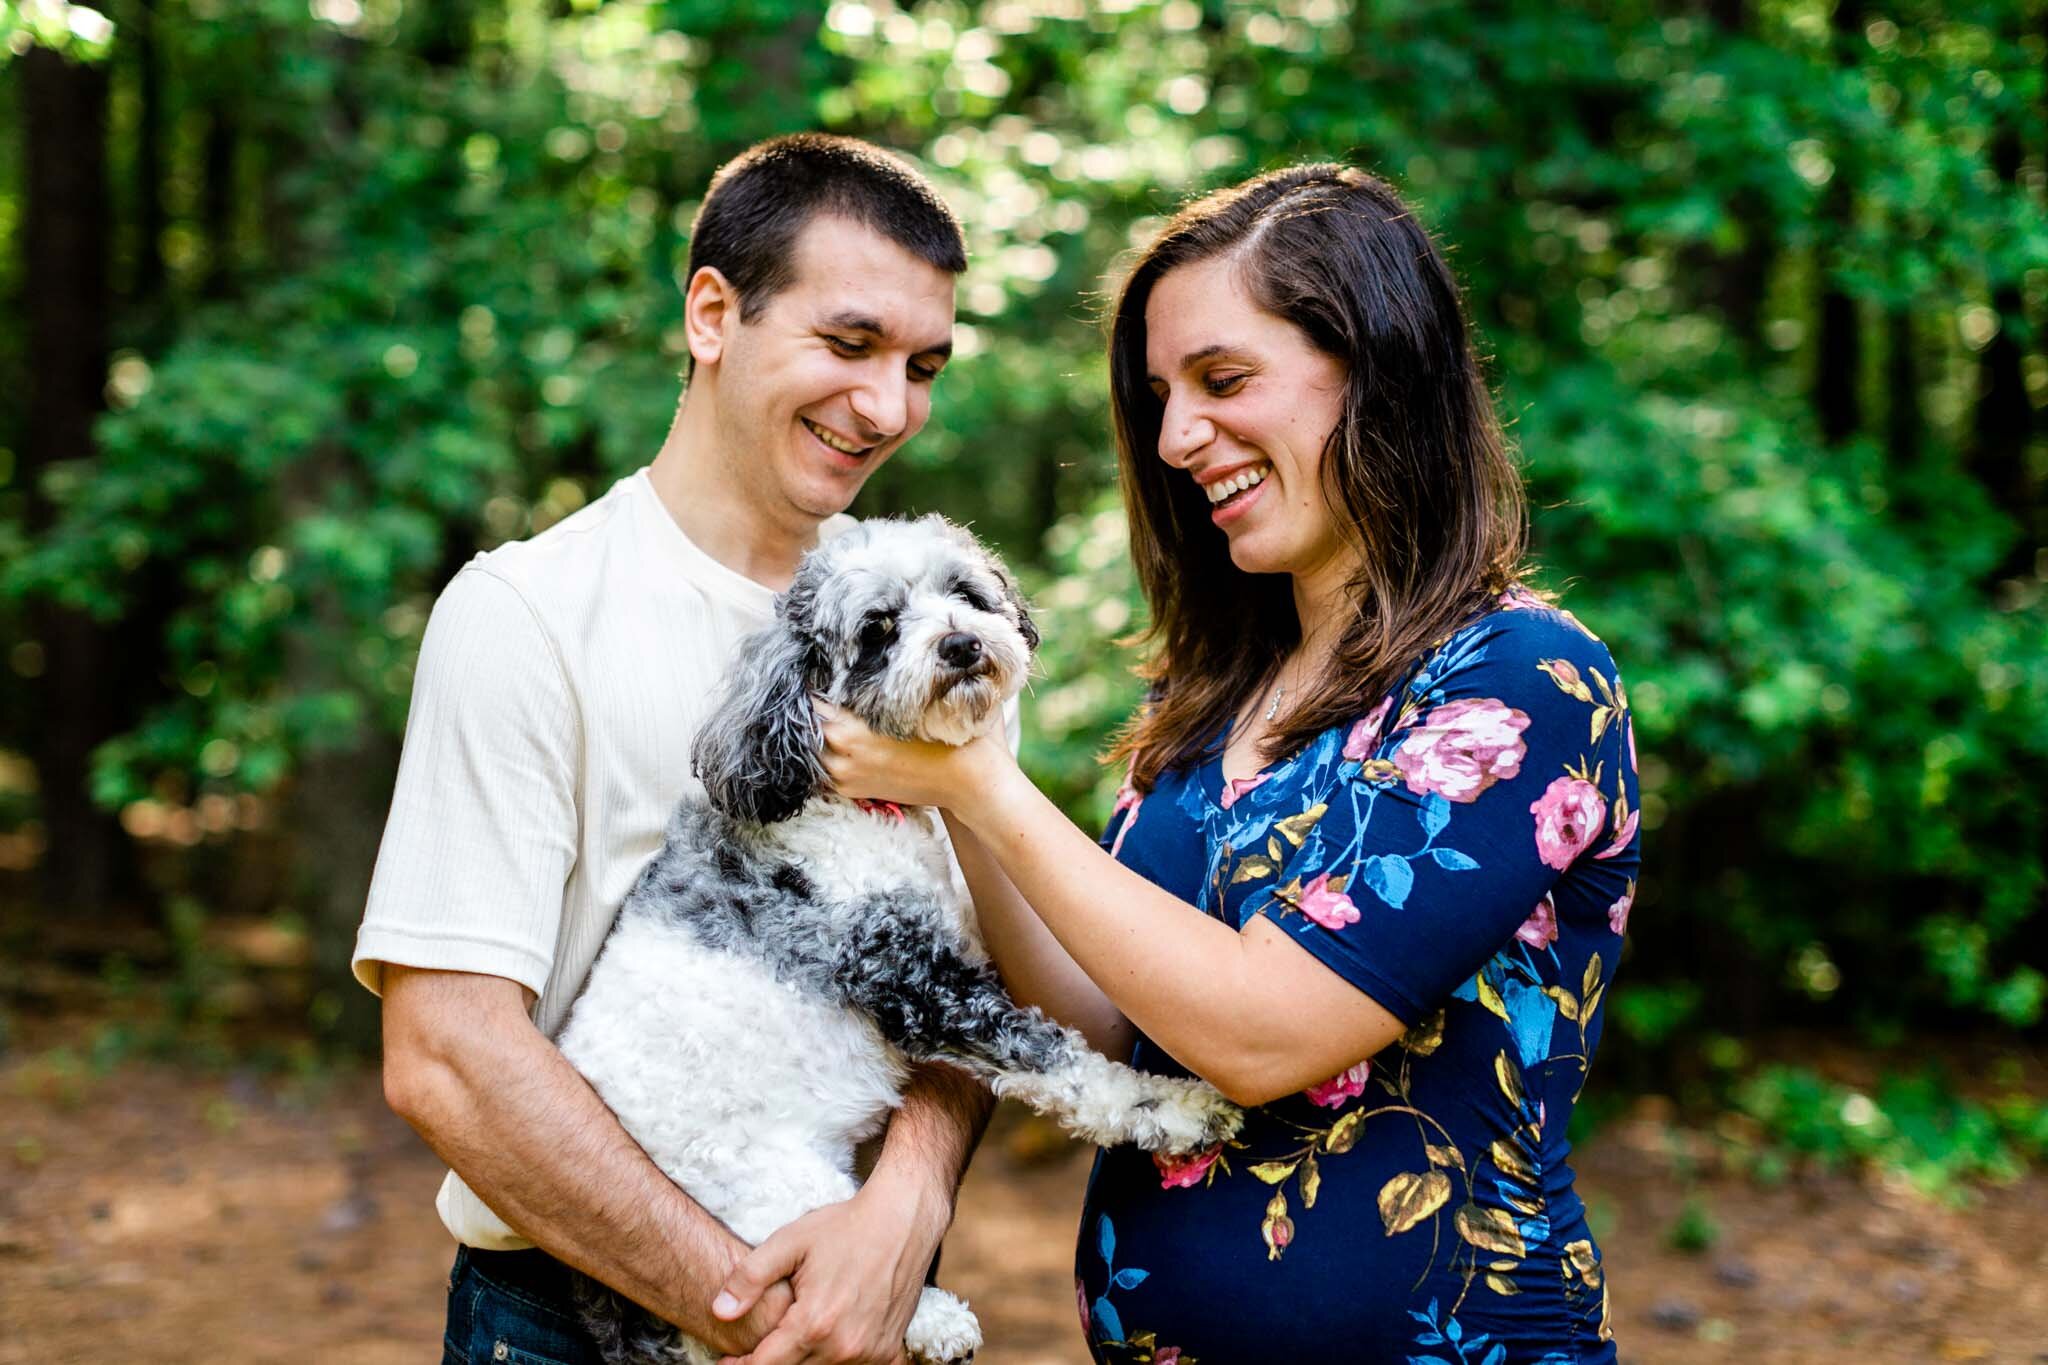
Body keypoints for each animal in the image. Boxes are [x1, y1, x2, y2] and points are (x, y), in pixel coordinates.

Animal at [552, 515, 1236, 1365]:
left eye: (964, 592)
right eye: (878, 629)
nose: (961, 644)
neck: (847, 803)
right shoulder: (914, 978)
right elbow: (1063, 1064)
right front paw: (1178, 1108)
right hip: (770, 1199)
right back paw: (935, 1319)